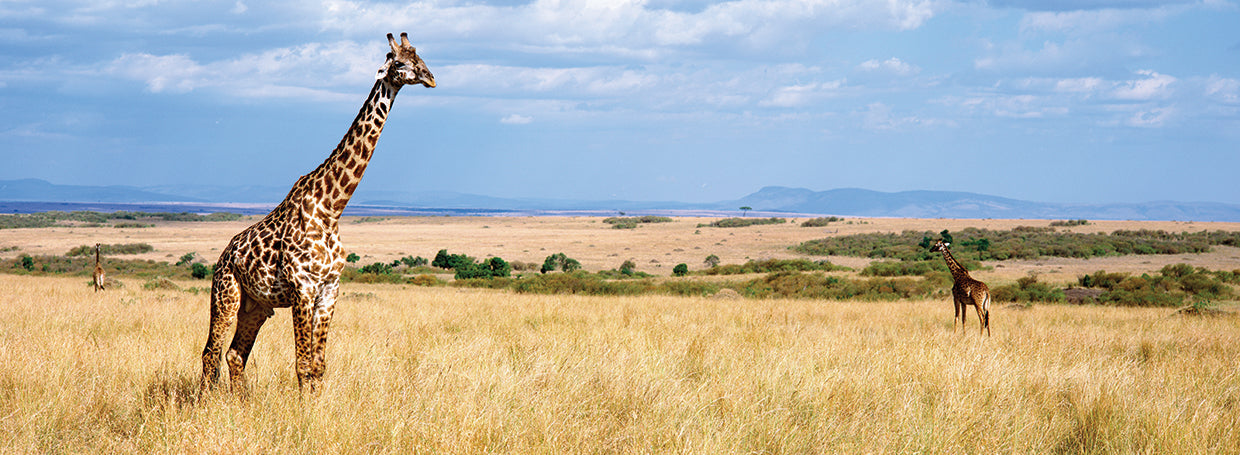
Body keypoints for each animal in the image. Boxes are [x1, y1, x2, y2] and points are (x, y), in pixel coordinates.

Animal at [200, 33, 436, 393]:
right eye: (399, 63)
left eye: (420, 57)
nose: (430, 77)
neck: (332, 208)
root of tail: (224, 255)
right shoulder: (303, 287)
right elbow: (302, 364)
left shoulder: (329, 289)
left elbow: (318, 365)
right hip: (226, 294)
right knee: (210, 353)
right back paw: (207, 403)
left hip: (257, 305)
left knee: (235, 355)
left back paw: (241, 403)